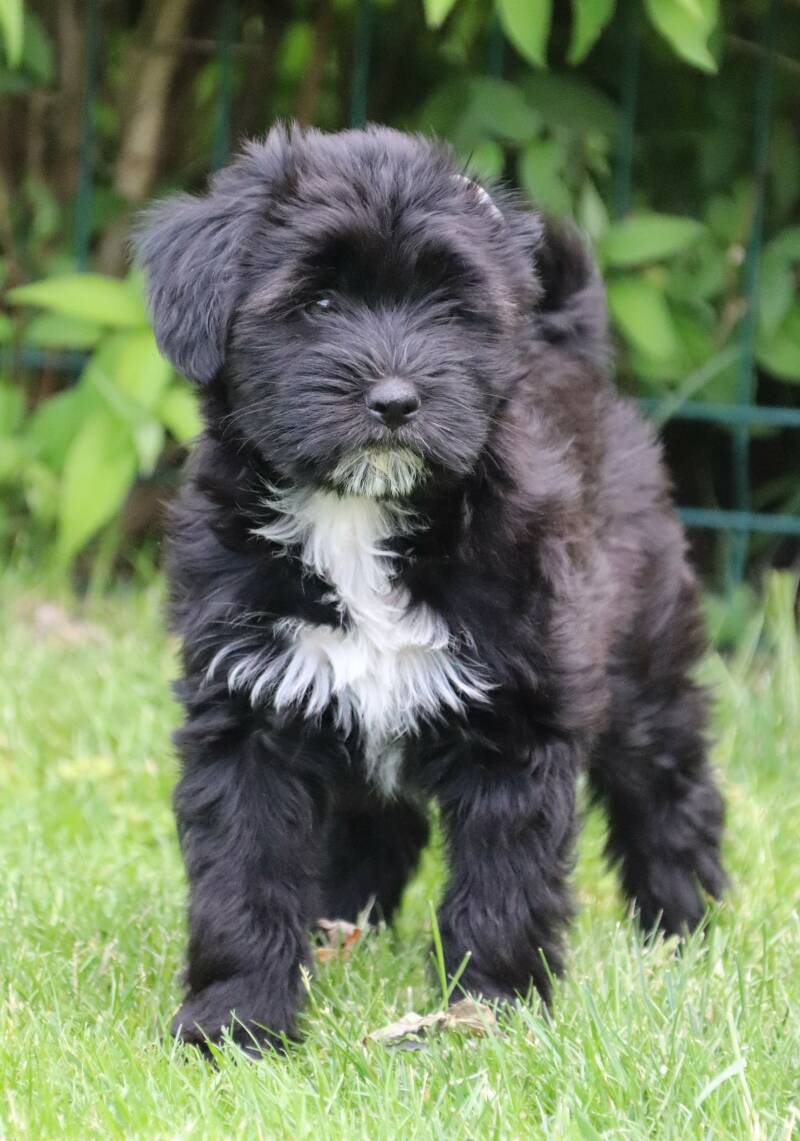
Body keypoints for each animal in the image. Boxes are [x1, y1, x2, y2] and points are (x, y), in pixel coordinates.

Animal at [136, 124, 726, 1053]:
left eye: (449, 308)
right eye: (318, 303)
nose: (395, 400)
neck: (358, 518)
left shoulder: (519, 717)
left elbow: (502, 882)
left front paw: (489, 1013)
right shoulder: (248, 707)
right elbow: (245, 870)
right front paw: (236, 1020)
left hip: (641, 659)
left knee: (669, 786)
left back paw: (684, 927)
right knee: (379, 821)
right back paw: (341, 930)